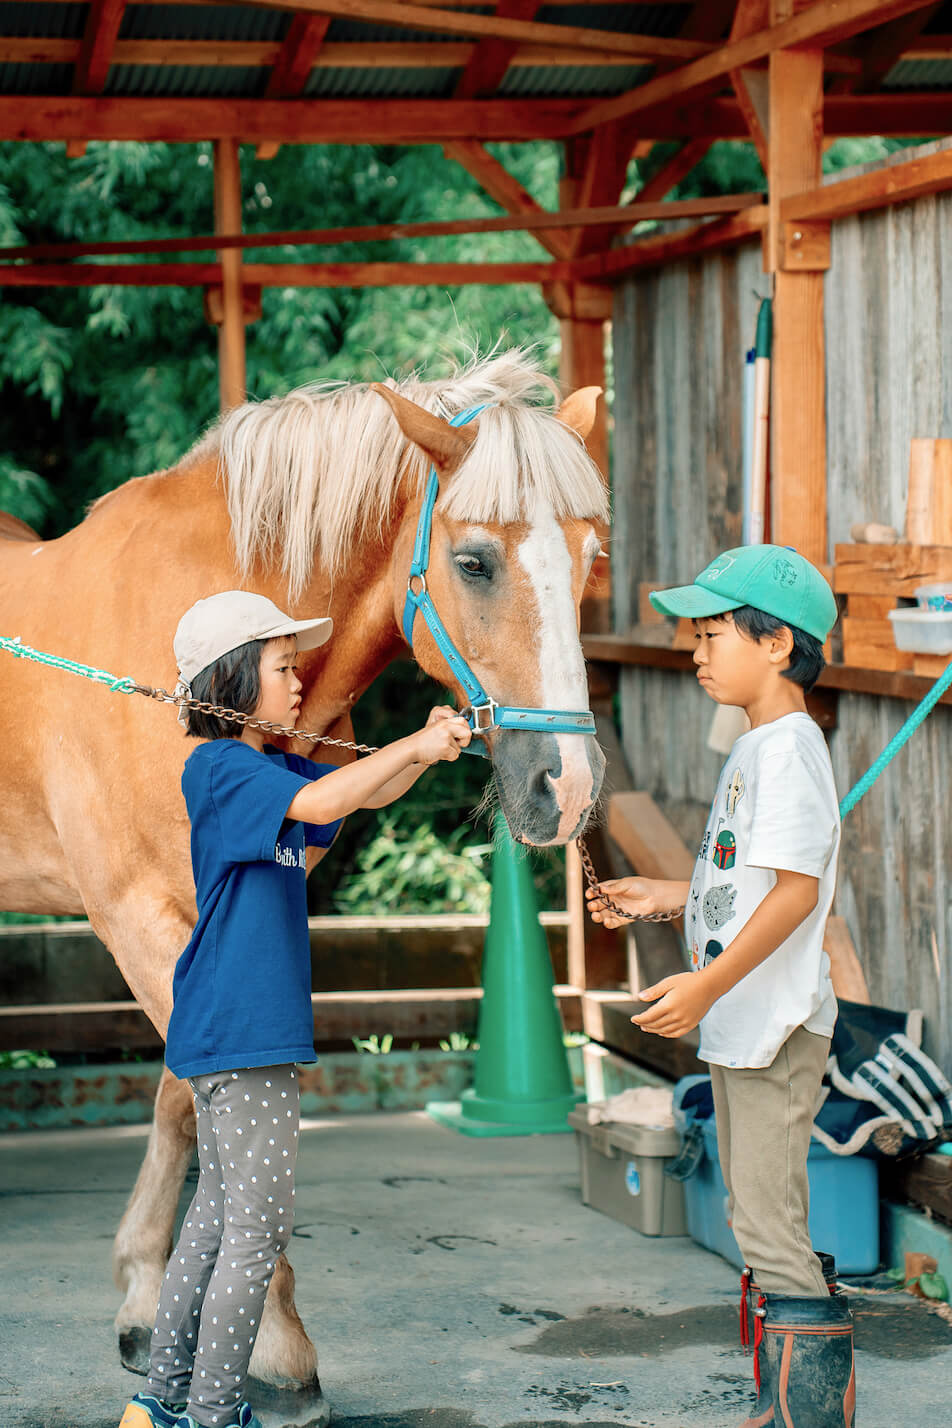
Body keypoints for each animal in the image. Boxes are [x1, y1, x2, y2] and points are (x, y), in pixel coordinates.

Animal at [0, 348, 610, 1428]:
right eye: (474, 562)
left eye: (587, 557)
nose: (566, 789)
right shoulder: (135, 916)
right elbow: (226, 1122)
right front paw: (274, 1348)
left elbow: (184, 1101)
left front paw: (149, 1296)